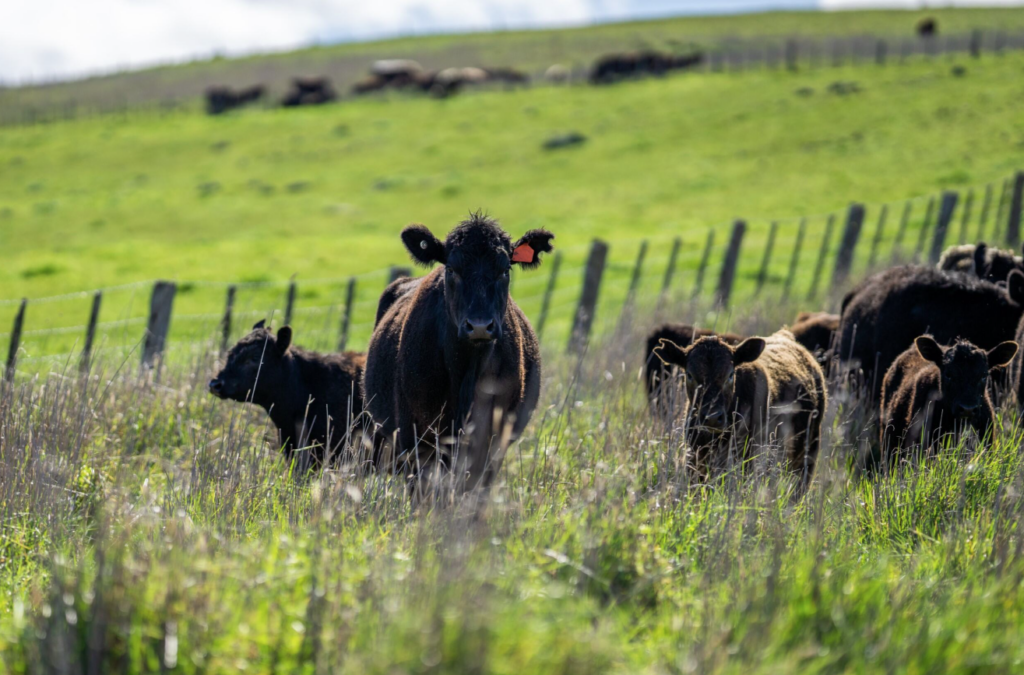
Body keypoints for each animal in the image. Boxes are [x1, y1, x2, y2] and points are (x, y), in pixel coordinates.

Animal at [363, 214, 554, 491]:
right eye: (451, 269)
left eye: (505, 270)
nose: (479, 325)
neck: (465, 370)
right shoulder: (414, 436)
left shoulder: (492, 440)